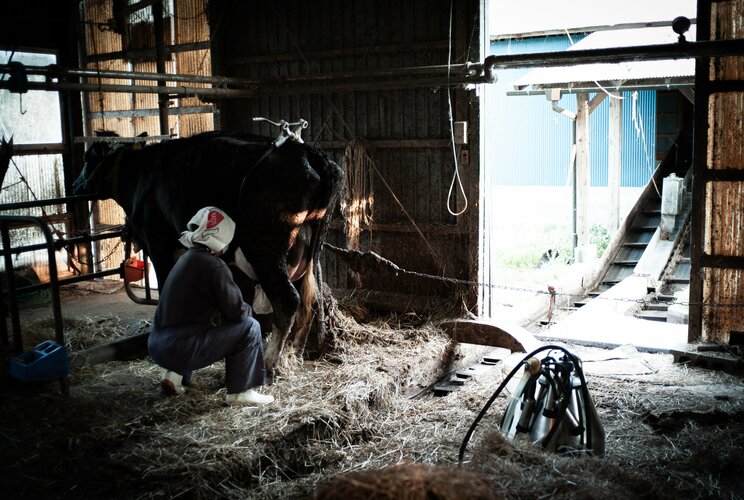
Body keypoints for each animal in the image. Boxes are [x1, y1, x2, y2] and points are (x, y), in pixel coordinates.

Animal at [72, 129, 342, 372]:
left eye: (86, 158)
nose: (75, 186)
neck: (140, 175)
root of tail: (309, 153)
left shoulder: (158, 245)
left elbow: (166, 286)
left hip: (265, 248)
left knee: (288, 300)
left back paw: (270, 362)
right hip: (307, 252)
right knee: (312, 299)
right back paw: (294, 355)